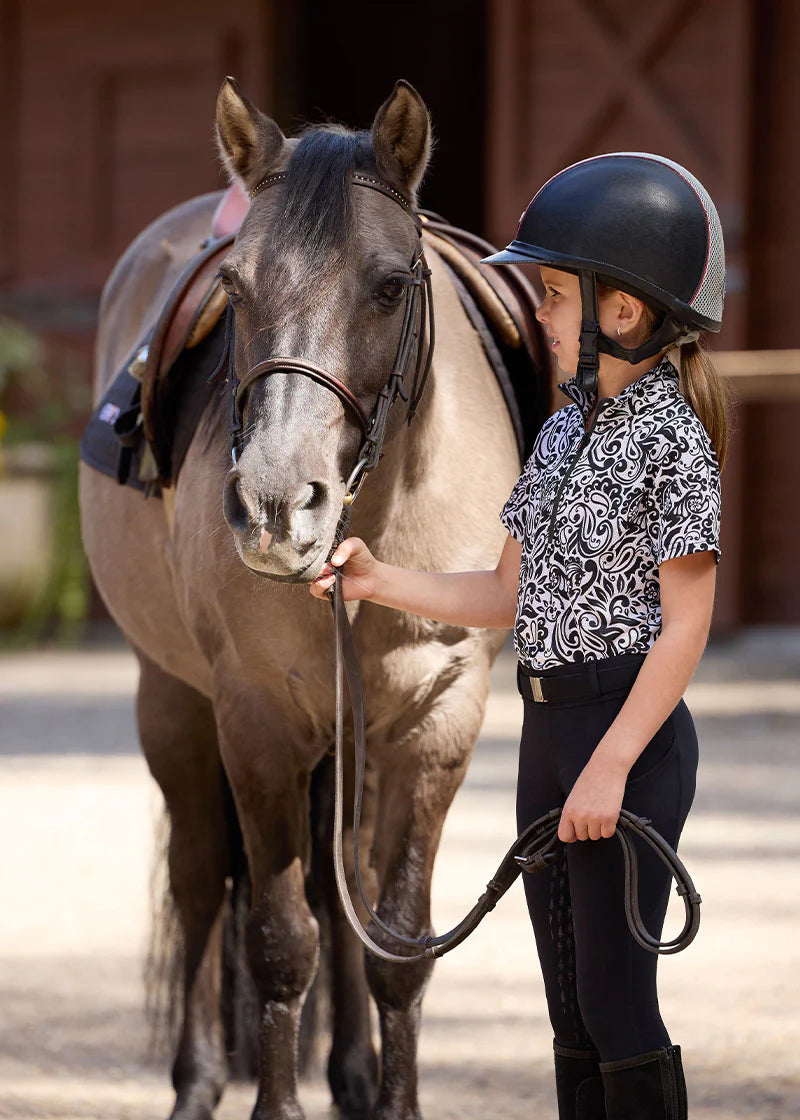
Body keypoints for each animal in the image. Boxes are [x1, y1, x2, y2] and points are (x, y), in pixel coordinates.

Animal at [79, 77, 532, 1120]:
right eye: (238, 288)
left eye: (392, 285)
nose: (277, 507)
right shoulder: (256, 722)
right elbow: (280, 942)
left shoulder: (436, 721)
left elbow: (394, 943)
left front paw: (391, 1097)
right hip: (173, 702)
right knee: (201, 881)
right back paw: (199, 1081)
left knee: (343, 887)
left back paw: (355, 1074)